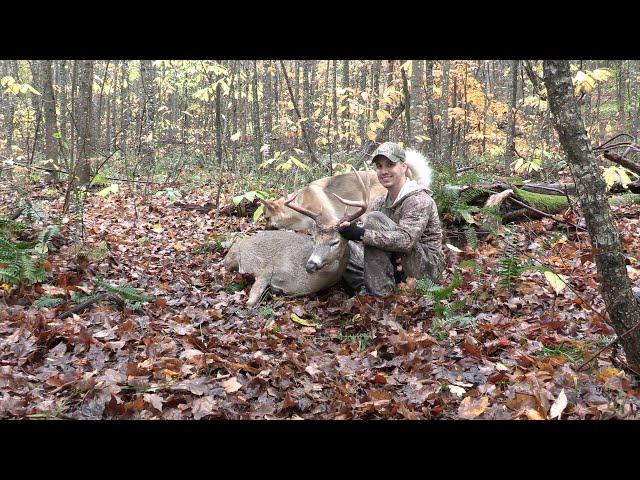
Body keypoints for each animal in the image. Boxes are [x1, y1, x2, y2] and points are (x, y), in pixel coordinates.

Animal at [225, 169, 368, 306]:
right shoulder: (267, 270)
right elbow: (251, 302)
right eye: (314, 240)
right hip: (232, 258)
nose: (310, 265)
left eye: (335, 242)